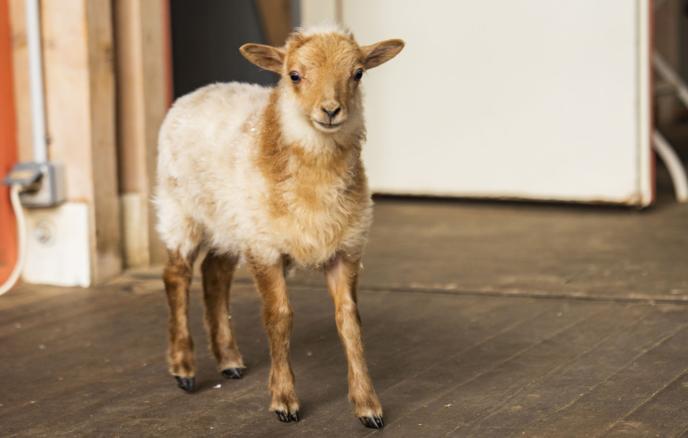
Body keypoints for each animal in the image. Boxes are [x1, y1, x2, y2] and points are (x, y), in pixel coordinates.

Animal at [155, 24, 404, 429]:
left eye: (358, 73)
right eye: (294, 75)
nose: (330, 110)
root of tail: (199, 91)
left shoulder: (345, 249)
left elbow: (350, 321)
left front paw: (368, 406)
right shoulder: (266, 248)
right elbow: (280, 318)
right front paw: (285, 400)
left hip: (231, 221)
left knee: (214, 274)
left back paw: (229, 360)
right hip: (181, 208)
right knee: (176, 275)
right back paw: (183, 367)